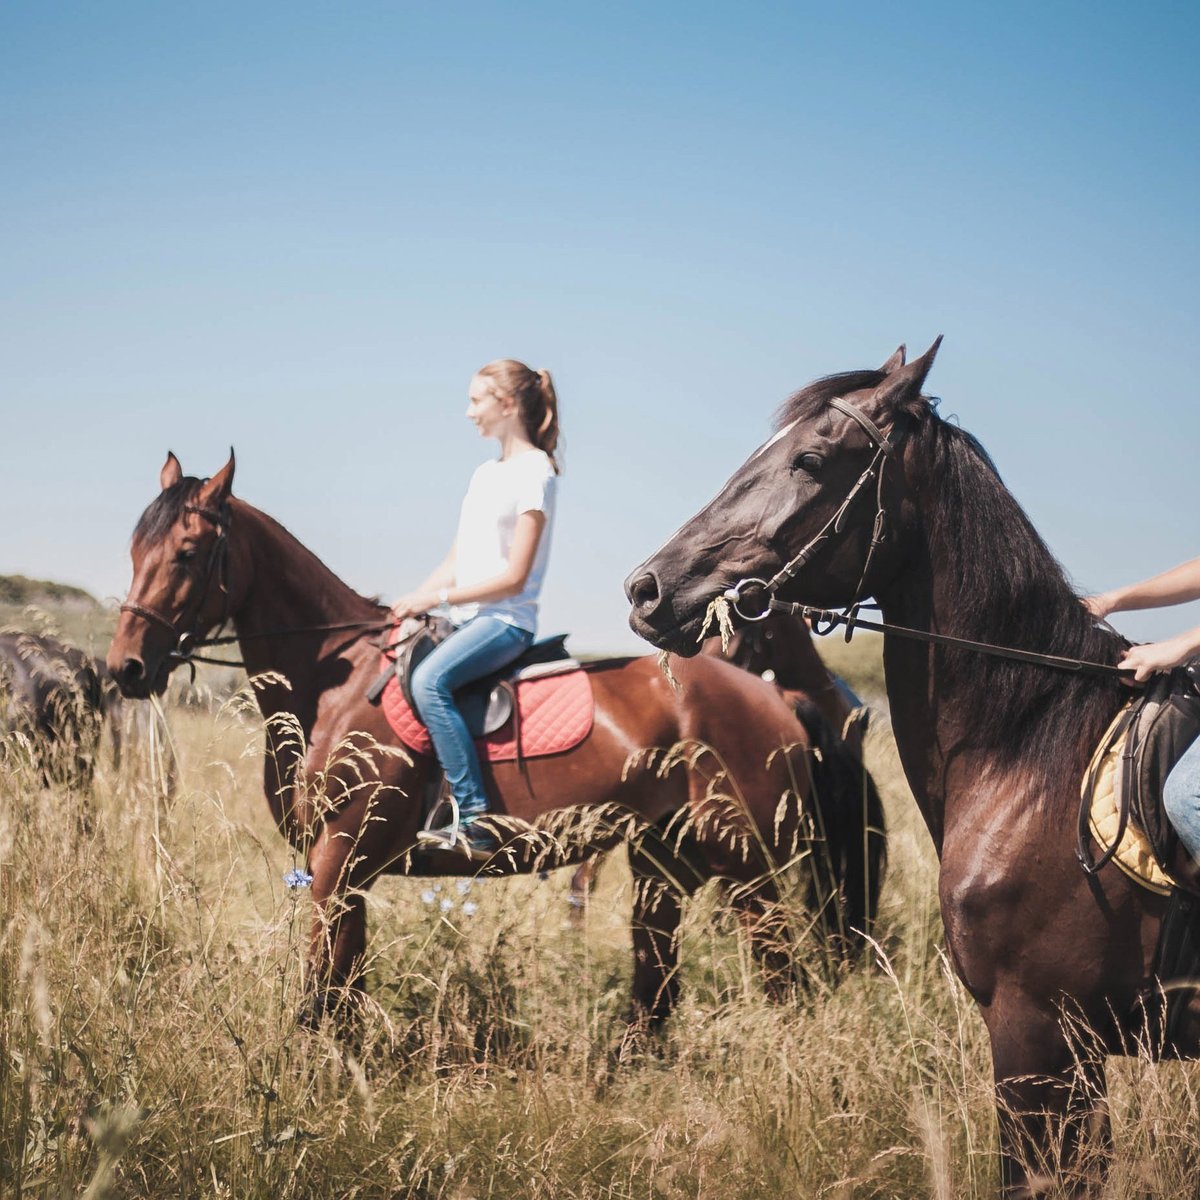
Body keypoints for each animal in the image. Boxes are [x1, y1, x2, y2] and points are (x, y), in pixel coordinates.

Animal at [108, 451, 878, 1032]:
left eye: (186, 553)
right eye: (134, 549)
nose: (127, 668)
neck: (334, 684)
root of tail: (773, 696)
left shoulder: (337, 864)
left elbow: (319, 994)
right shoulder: (346, 876)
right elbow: (343, 990)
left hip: (750, 874)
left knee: (780, 983)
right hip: (665, 864)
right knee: (655, 988)